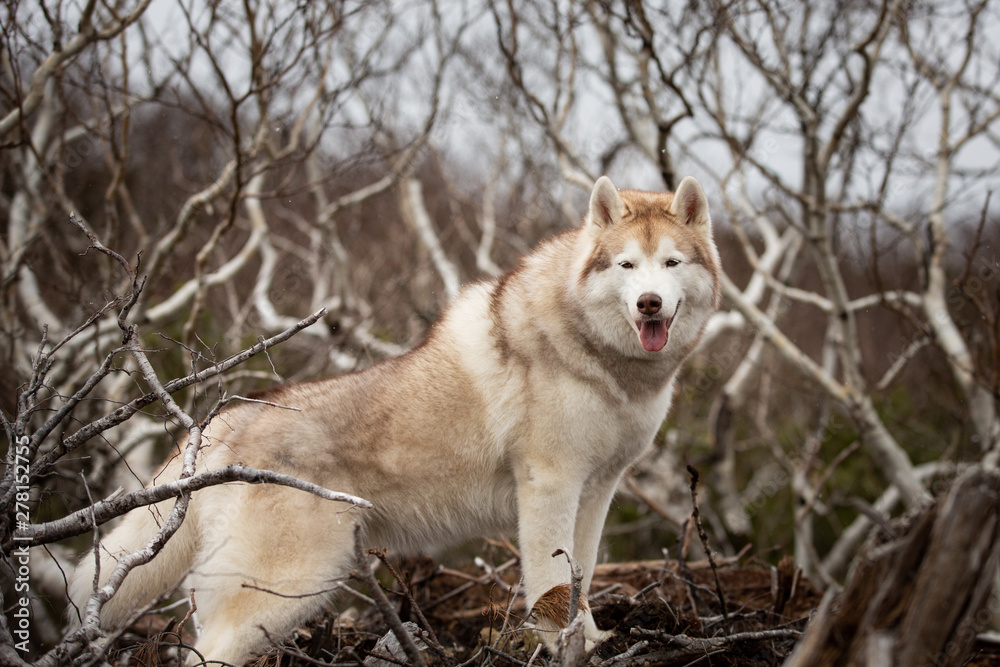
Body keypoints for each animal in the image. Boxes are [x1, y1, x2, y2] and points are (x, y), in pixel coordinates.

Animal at [68, 175, 720, 664]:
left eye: (670, 262)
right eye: (627, 265)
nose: (649, 304)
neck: (607, 363)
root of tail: (227, 420)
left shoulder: (599, 487)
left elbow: (580, 578)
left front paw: (591, 641)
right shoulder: (550, 485)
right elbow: (553, 585)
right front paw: (560, 646)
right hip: (288, 587)